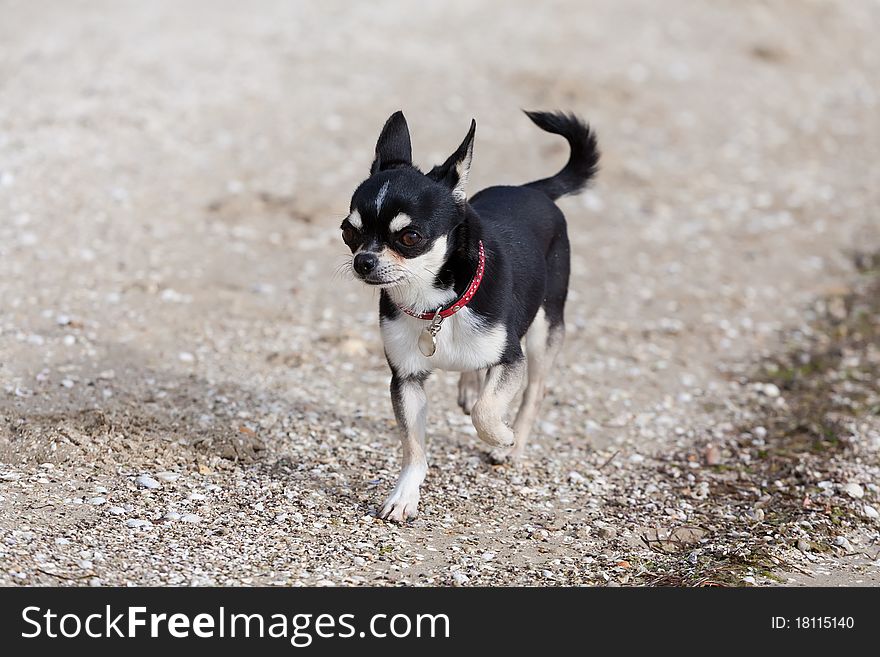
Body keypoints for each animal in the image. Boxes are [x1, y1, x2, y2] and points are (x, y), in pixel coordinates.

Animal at [338, 110, 600, 520]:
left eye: (410, 237)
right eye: (348, 232)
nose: (363, 261)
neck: (435, 306)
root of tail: (535, 190)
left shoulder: (511, 358)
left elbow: (486, 411)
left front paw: (503, 436)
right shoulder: (407, 379)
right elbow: (413, 447)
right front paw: (404, 496)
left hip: (545, 328)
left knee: (534, 391)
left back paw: (513, 445)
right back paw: (470, 385)